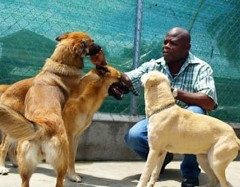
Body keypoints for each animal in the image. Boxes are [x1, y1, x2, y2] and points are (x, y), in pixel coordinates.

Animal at [0, 32, 95, 187]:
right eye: (92, 42)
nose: (100, 48)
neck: (61, 62)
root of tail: (42, 127)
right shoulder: (78, 87)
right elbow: (87, 77)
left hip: (19, 135)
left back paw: (14, 163)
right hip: (59, 160)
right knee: (3, 148)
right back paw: (2, 168)